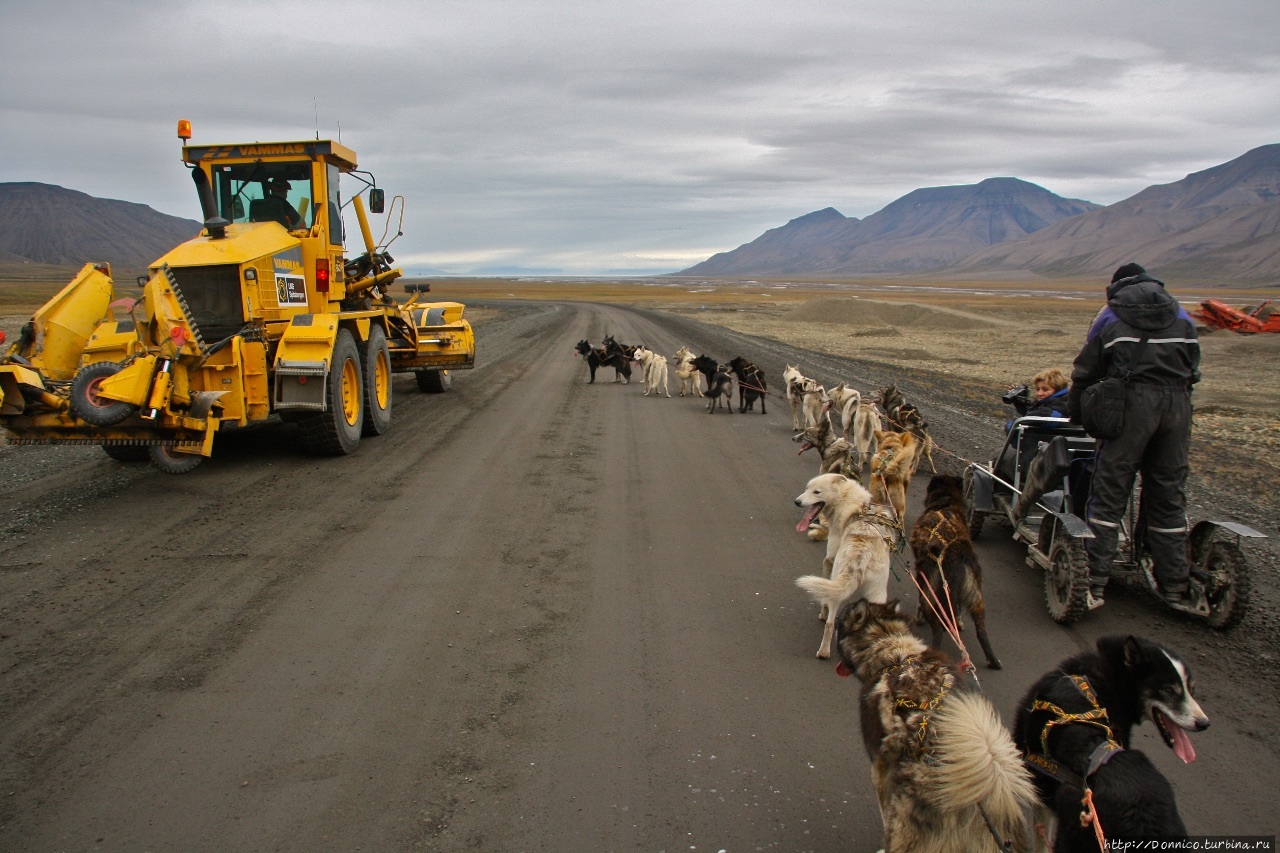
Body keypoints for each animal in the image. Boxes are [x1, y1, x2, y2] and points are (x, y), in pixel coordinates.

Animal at [788, 471, 890, 655]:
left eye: (817, 492)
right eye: (807, 488)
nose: (797, 501)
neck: (846, 498)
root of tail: (863, 555)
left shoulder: (829, 558)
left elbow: (824, 597)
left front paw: (823, 612)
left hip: (838, 582)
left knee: (830, 623)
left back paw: (823, 652)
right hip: (878, 592)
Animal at [911, 471, 998, 666]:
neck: (946, 501)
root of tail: (955, 555)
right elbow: (957, 609)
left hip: (931, 591)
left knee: (937, 628)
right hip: (976, 595)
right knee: (981, 629)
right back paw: (993, 660)